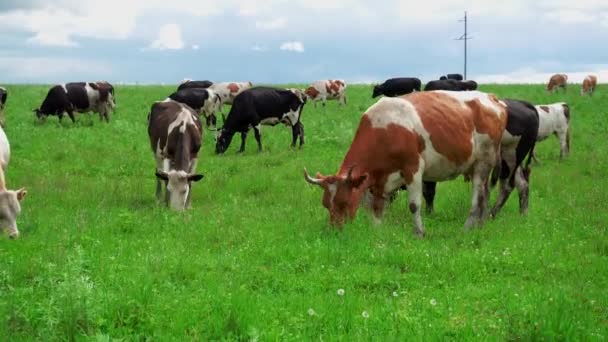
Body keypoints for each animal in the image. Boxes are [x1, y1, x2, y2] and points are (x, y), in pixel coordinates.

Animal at [304, 89, 508, 236]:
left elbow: (414, 205)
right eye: (326, 204)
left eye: (344, 202)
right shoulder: (379, 179)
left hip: (483, 162)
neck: (383, 129)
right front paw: (378, 231)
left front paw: (419, 233)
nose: (335, 231)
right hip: (478, 166)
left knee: (477, 197)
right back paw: (480, 225)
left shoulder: (414, 169)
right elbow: (376, 206)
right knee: (485, 193)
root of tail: (492, 98)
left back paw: (467, 227)